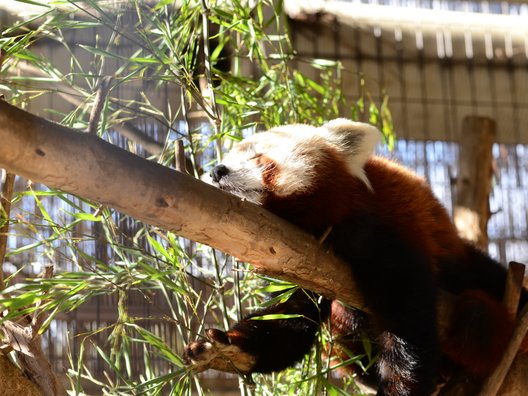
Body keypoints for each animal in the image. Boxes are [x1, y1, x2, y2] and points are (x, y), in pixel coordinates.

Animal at [184, 119, 524, 394]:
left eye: (258, 157)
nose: (216, 170)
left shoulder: (375, 232)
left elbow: (407, 314)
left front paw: (400, 388)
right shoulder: (297, 260)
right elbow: (290, 320)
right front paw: (232, 349)